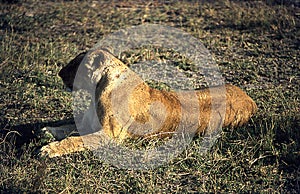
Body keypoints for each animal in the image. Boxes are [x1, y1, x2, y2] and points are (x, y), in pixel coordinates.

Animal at [38, 48, 256, 158]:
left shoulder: (110, 135)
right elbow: (67, 127)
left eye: (75, 64)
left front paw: (48, 149)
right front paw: (47, 131)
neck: (96, 87)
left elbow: (75, 140)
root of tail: (250, 99)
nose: (59, 73)